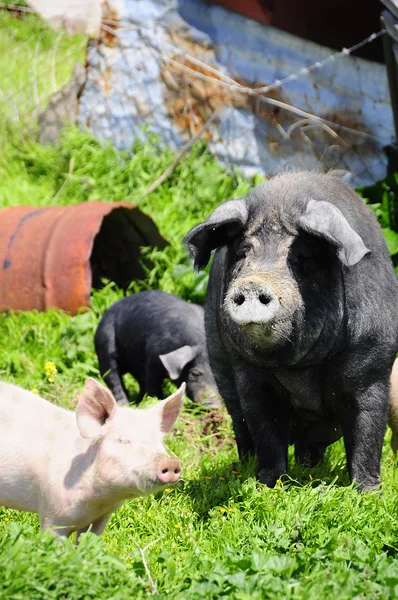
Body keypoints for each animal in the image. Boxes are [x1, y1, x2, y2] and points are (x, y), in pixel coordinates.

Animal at [0, 378, 185, 536]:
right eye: (123, 440)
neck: (99, 500)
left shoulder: (101, 518)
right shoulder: (52, 512)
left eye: (159, 442)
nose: (170, 462)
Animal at [185, 171, 398, 490]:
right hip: (219, 358)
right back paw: (246, 465)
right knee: (239, 420)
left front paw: (368, 491)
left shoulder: (373, 363)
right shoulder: (248, 372)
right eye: (243, 254)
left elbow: (368, 428)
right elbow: (264, 427)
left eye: (302, 258)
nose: (254, 283)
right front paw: (267, 484)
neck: (298, 367)